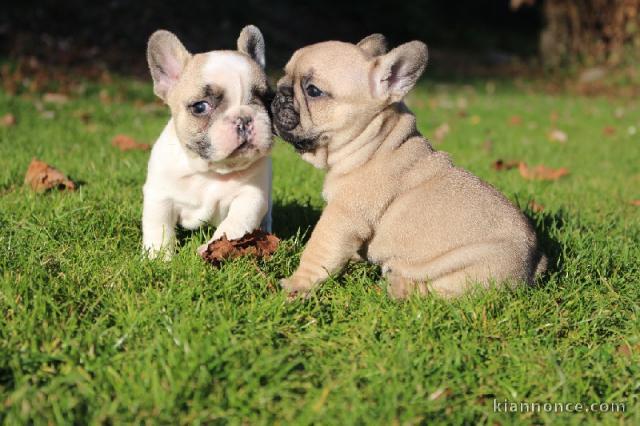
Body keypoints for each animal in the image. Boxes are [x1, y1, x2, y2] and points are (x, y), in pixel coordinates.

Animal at [142, 27, 272, 260]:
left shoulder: (251, 196)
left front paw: (212, 248)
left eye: (268, 100)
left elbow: (235, 223)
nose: (244, 118)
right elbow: (159, 227)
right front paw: (157, 258)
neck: (210, 171)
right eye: (200, 107)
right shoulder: (159, 196)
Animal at [272, 35, 548, 298]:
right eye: (284, 74)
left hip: (474, 269)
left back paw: (399, 287)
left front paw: (297, 285)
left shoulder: (342, 217)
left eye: (313, 91)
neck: (373, 146)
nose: (278, 92)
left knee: (439, 293)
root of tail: (535, 266)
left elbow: (318, 251)